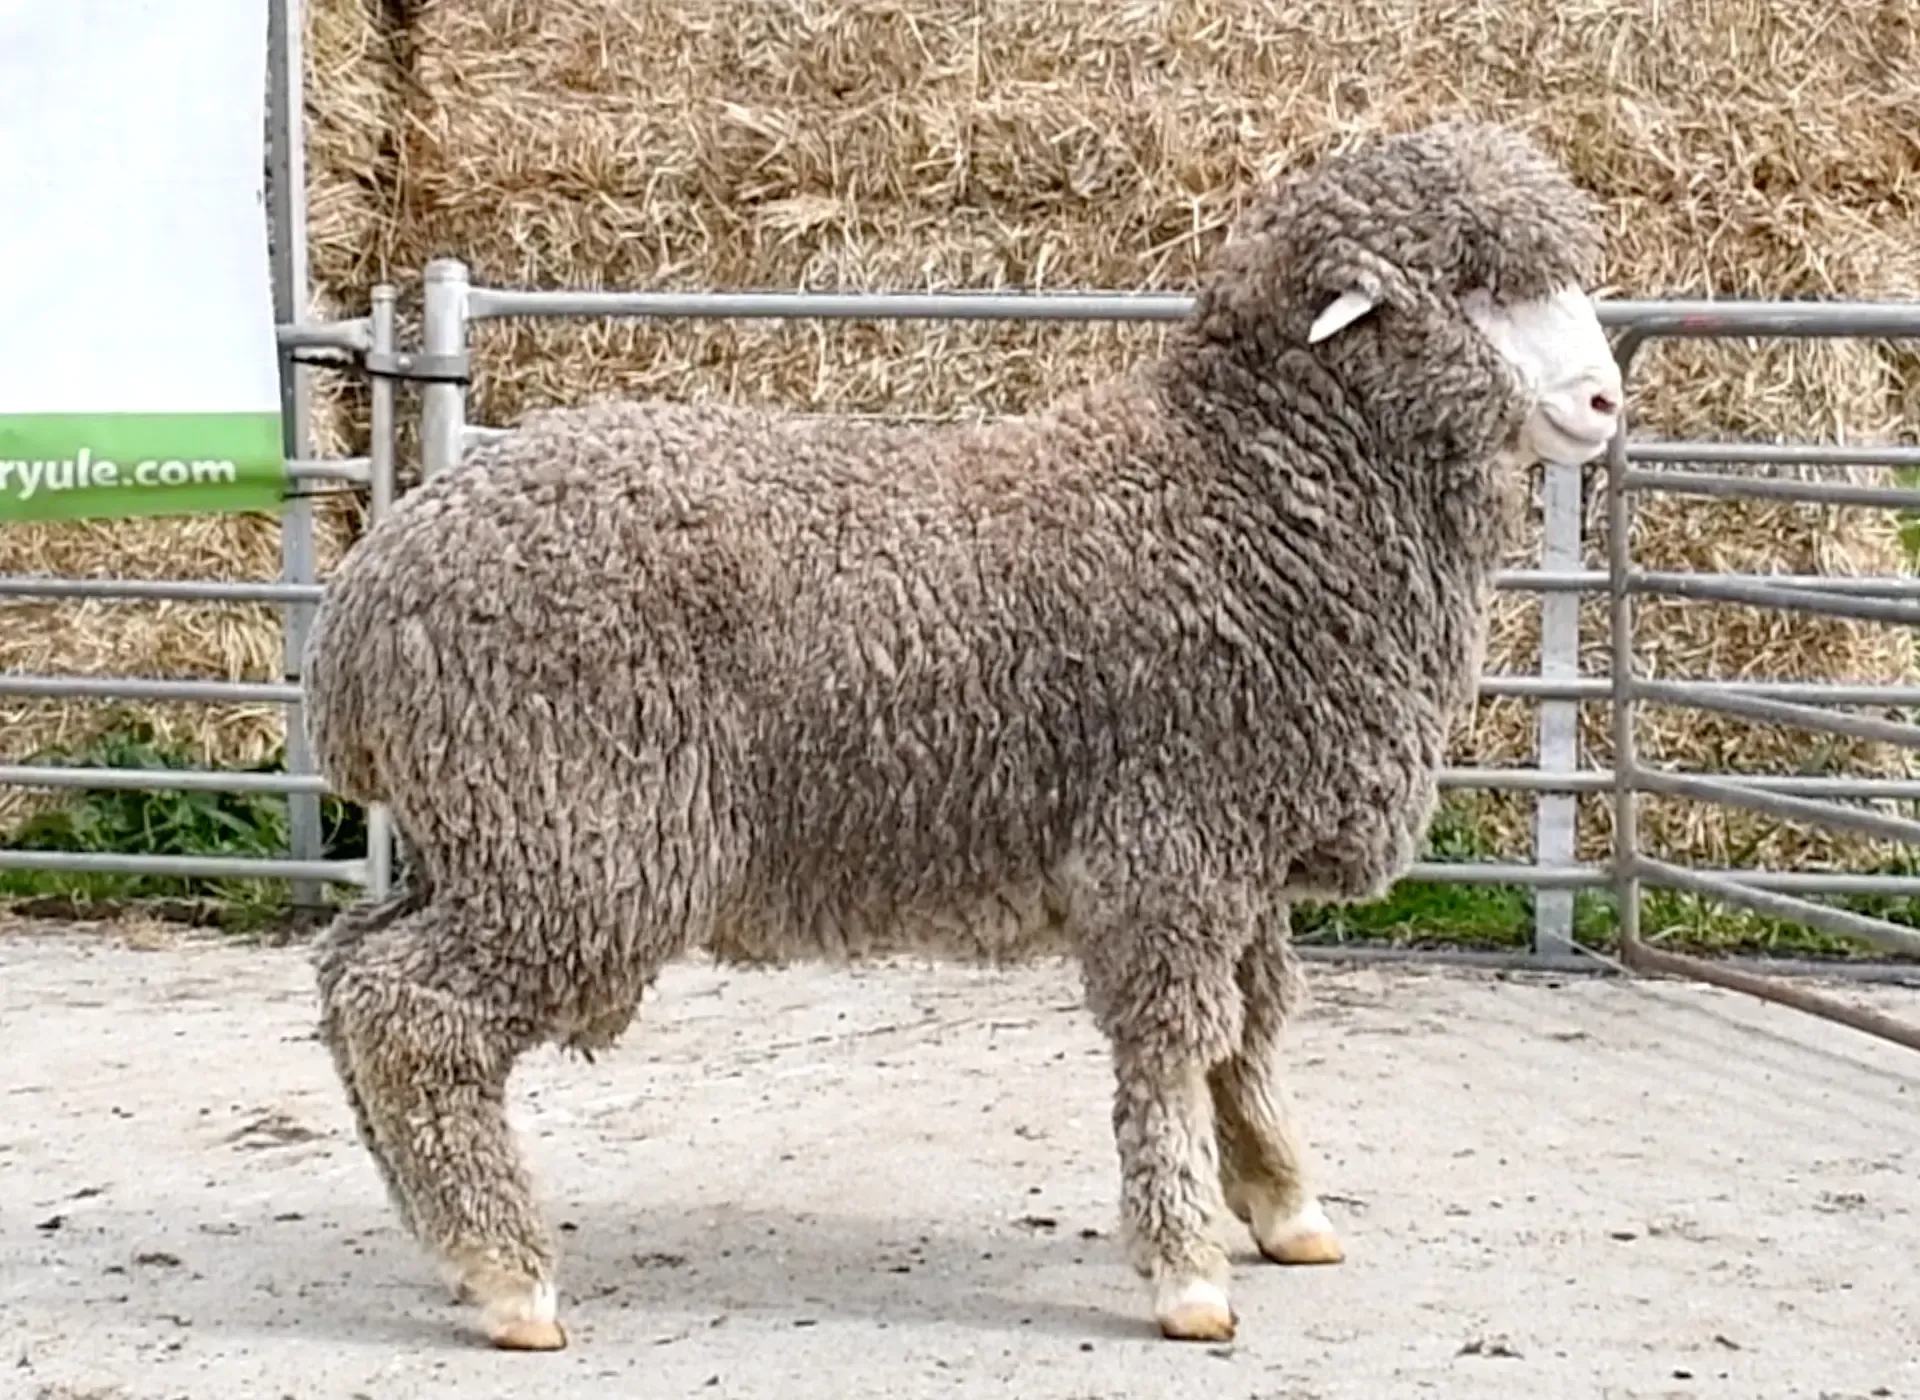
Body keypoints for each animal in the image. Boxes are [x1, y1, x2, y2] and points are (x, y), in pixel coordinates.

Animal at [302, 118, 1625, 1352]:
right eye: (1475, 286)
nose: (1606, 401)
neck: (1235, 490)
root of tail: (362, 610)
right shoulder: (1172, 843)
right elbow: (1174, 1048)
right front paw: (1189, 1269)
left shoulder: (1243, 852)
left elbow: (1249, 1034)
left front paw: (1285, 1202)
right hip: (573, 833)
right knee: (414, 1013)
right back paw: (507, 1272)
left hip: (480, 830)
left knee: (350, 971)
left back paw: (441, 1233)